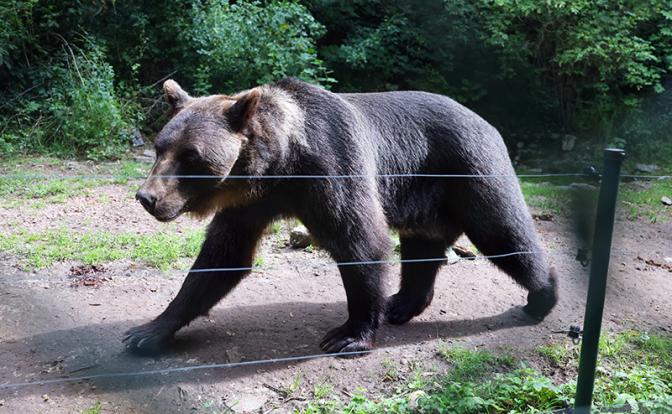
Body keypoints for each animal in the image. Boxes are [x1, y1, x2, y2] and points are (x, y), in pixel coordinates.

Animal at [125, 78, 558, 355]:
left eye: (190, 156)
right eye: (160, 147)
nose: (147, 197)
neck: (281, 166)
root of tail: (485, 120)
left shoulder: (332, 169)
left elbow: (360, 242)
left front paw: (349, 335)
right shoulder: (249, 203)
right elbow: (221, 259)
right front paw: (147, 332)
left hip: (466, 171)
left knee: (503, 232)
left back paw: (543, 295)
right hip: (423, 199)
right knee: (421, 248)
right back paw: (401, 304)